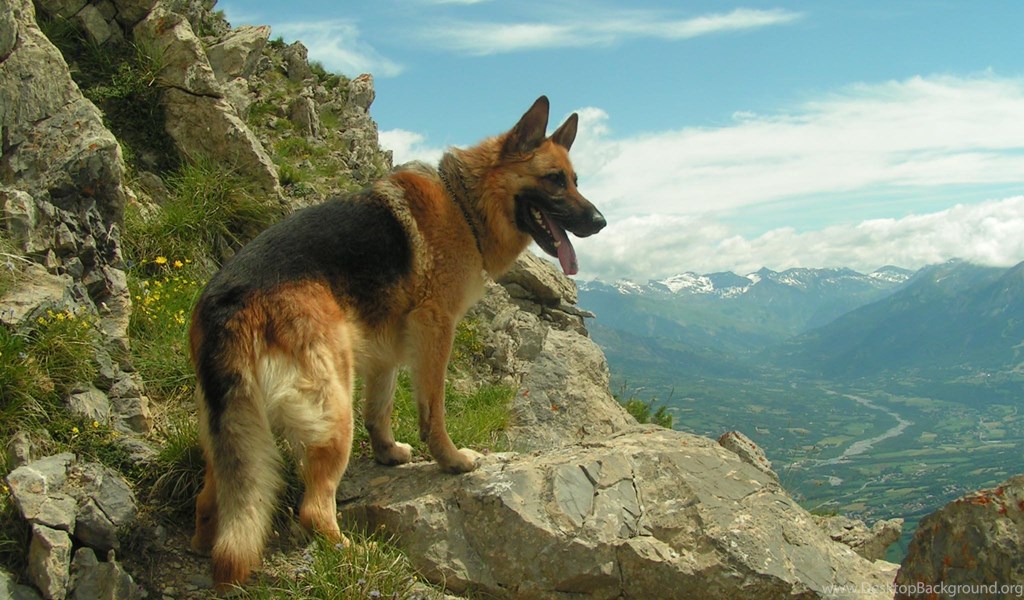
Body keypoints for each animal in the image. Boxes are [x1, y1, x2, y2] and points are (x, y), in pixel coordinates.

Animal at [188, 95, 606, 589]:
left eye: (576, 181)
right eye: (554, 180)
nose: (600, 221)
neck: (465, 203)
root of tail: (228, 302)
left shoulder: (386, 347)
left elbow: (381, 408)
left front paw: (387, 453)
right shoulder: (435, 329)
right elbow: (433, 411)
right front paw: (450, 460)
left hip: (236, 430)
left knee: (213, 500)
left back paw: (205, 547)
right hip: (334, 411)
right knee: (313, 509)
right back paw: (352, 553)